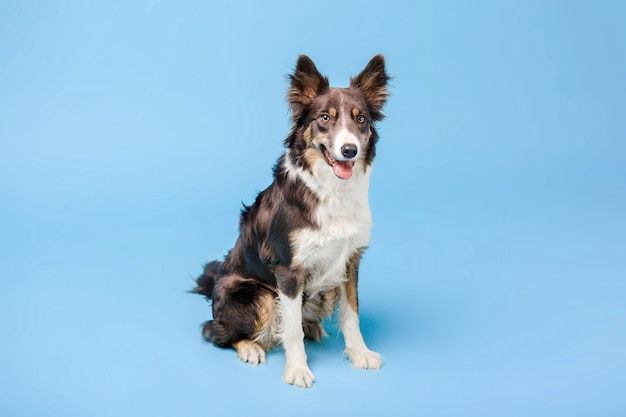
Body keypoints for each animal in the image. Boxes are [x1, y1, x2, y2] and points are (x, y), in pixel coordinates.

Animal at [190, 54, 388, 386]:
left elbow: (352, 314)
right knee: (215, 330)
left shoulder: (350, 260)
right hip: (257, 294)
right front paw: (297, 369)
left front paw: (360, 354)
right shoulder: (288, 269)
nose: (350, 150)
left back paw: (312, 327)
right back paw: (250, 347)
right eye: (324, 118)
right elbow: (291, 329)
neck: (332, 191)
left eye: (360, 119)